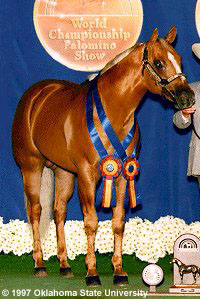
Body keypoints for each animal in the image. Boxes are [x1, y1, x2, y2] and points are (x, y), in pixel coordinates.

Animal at [12, 27, 195, 286]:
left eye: (179, 60)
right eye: (159, 63)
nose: (188, 98)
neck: (112, 111)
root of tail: (35, 96)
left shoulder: (123, 174)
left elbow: (118, 222)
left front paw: (119, 272)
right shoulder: (87, 175)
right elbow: (91, 223)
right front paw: (92, 274)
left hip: (63, 172)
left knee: (59, 212)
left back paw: (65, 266)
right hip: (31, 167)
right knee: (36, 211)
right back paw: (39, 264)